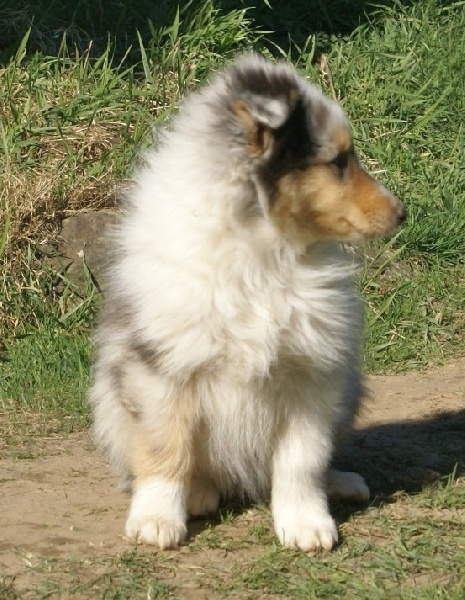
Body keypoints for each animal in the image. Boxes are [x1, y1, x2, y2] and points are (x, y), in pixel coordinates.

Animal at [89, 53, 405, 551]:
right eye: (337, 161)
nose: (402, 213)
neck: (265, 252)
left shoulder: (313, 370)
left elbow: (302, 458)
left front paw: (305, 524)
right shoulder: (162, 369)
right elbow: (166, 448)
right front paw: (156, 521)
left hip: (350, 387)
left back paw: (341, 483)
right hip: (109, 403)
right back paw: (198, 494)